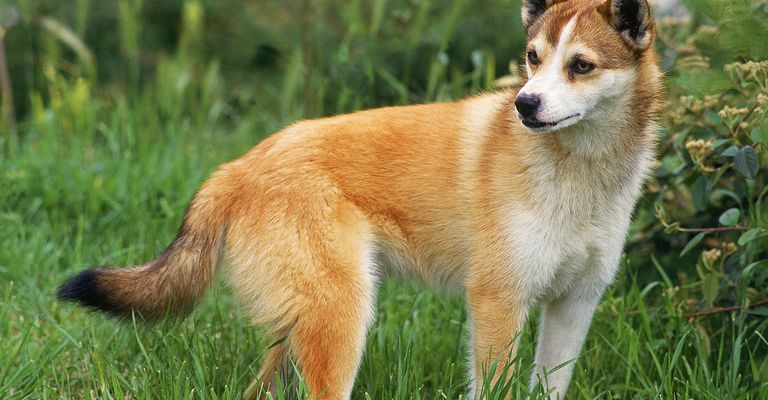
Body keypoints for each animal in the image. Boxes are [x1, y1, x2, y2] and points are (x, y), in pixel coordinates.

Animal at [57, 0, 664, 396]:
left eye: (580, 65)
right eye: (533, 57)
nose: (525, 104)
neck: (577, 175)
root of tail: (243, 165)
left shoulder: (573, 306)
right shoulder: (499, 302)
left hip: (297, 335)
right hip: (340, 320)